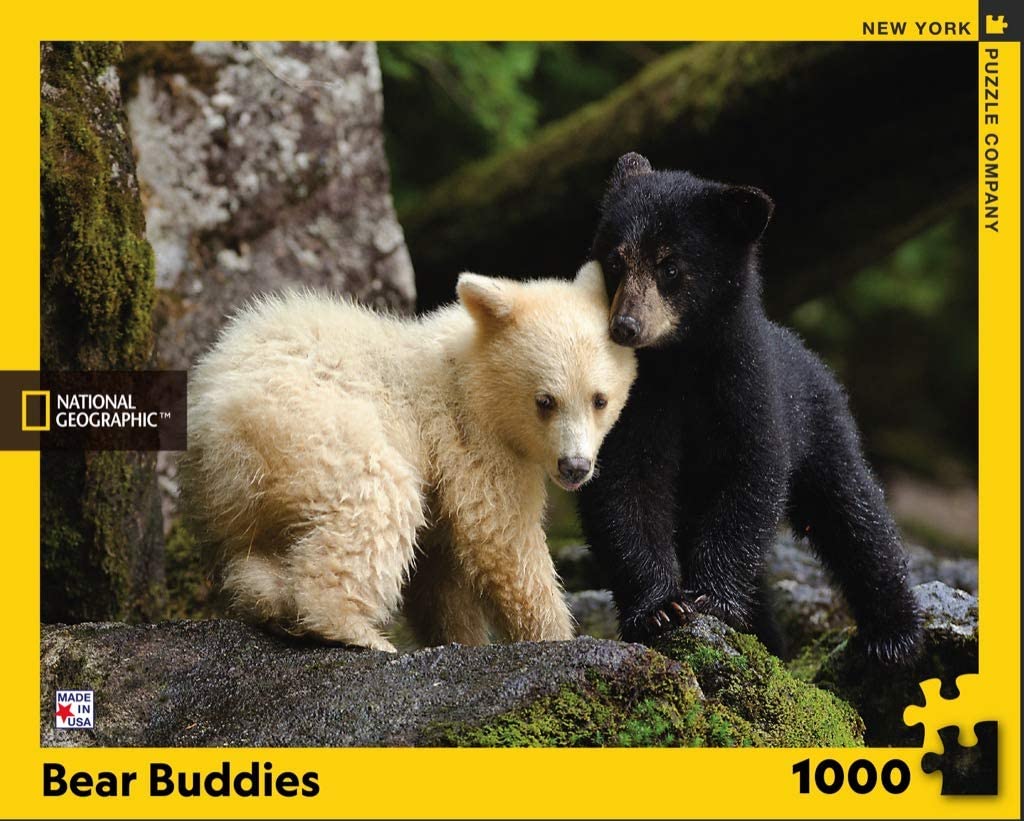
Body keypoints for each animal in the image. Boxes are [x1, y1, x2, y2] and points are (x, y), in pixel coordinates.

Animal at [181, 262, 636, 652]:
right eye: (545, 400)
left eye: (599, 399)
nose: (575, 467)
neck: (470, 375)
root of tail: (211, 420)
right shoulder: (470, 438)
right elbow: (501, 535)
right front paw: (555, 635)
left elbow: (440, 575)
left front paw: (461, 637)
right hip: (309, 425)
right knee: (379, 498)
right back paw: (354, 629)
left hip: (246, 493)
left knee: (256, 550)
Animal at [576, 152, 922, 666]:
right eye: (615, 260)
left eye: (670, 267)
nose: (625, 326)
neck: (679, 362)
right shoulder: (631, 402)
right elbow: (624, 483)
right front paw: (660, 609)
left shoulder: (748, 386)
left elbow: (751, 474)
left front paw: (711, 599)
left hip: (823, 426)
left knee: (854, 513)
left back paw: (893, 634)